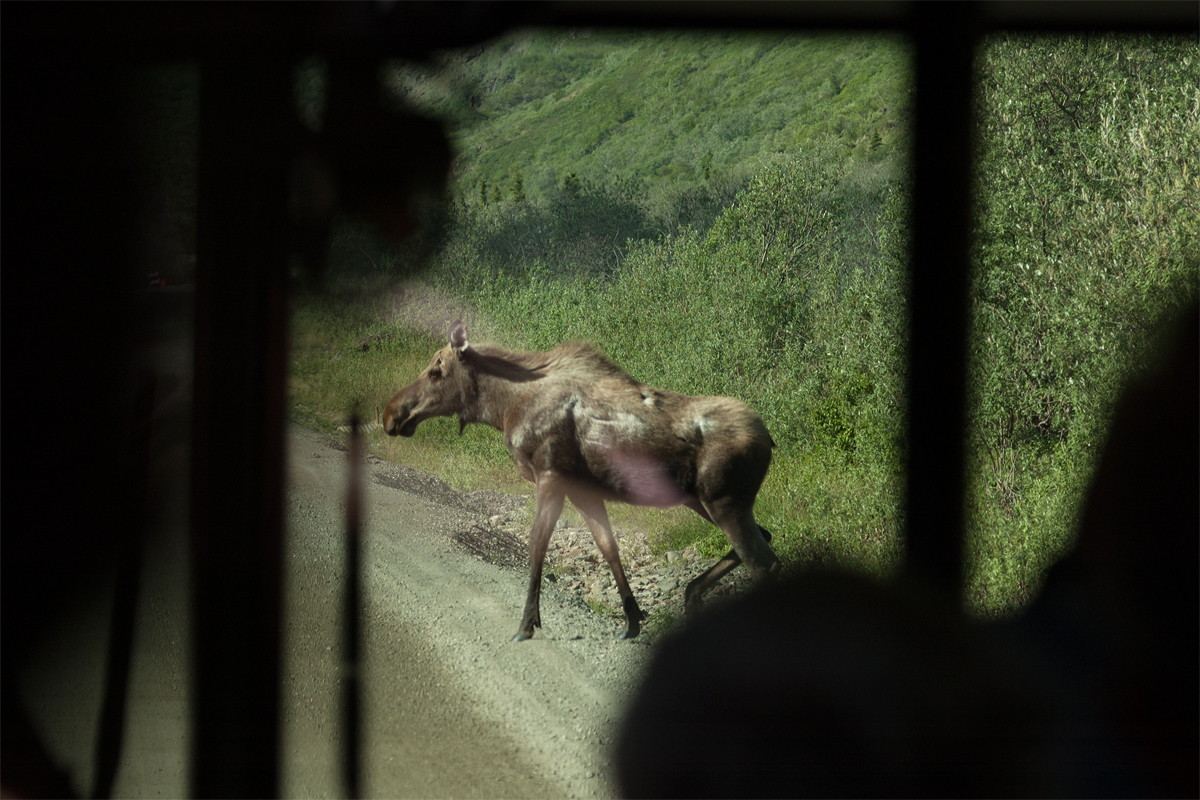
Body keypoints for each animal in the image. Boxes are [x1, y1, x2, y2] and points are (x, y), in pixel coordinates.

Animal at [382, 321, 780, 642]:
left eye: (436, 371)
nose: (390, 413)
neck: (503, 409)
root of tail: (769, 438)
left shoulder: (551, 476)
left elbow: (536, 545)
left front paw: (527, 624)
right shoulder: (581, 489)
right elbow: (608, 546)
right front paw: (632, 620)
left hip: (724, 501)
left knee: (763, 561)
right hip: (701, 500)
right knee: (766, 538)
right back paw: (692, 593)